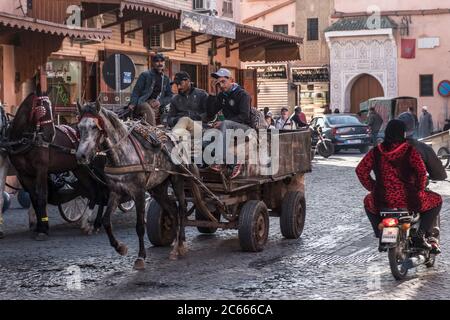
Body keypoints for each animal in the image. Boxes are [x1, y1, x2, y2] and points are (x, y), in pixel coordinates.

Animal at [8, 91, 108, 239]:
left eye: (52, 109)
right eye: (42, 109)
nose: (51, 134)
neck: (26, 140)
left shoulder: (41, 169)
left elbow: (42, 195)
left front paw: (43, 229)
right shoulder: (23, 174)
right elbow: (33, 197)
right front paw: (38, 225)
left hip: (97, 169)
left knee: (102, 190)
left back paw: (96, 223)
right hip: (80, 169)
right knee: (94, 191)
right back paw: (90, 223)